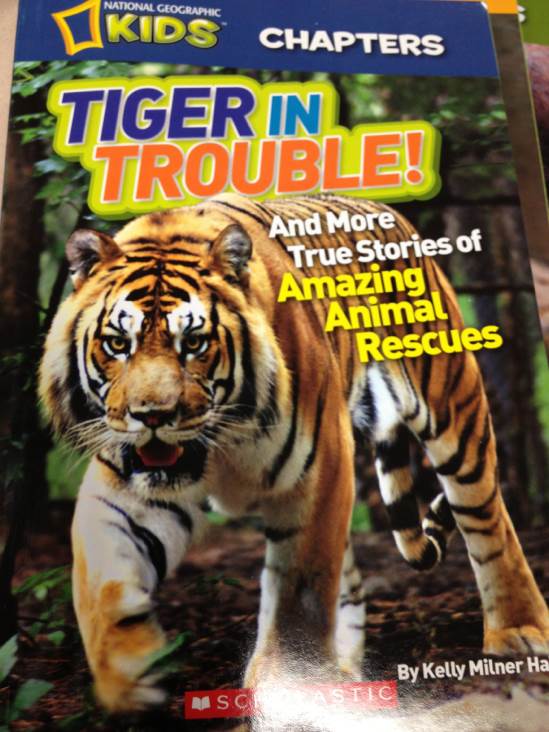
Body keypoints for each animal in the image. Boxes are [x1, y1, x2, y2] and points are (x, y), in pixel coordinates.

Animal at [39, 193, 549, 713]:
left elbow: (299, 588)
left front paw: (287, 680)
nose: (153, 416)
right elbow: (103, 582)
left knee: (487, 518)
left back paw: (518, 631)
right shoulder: (124, 487)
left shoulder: (319, 471)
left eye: (194, 343)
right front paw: (129, 674)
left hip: (451, 401)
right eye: (118, 344)